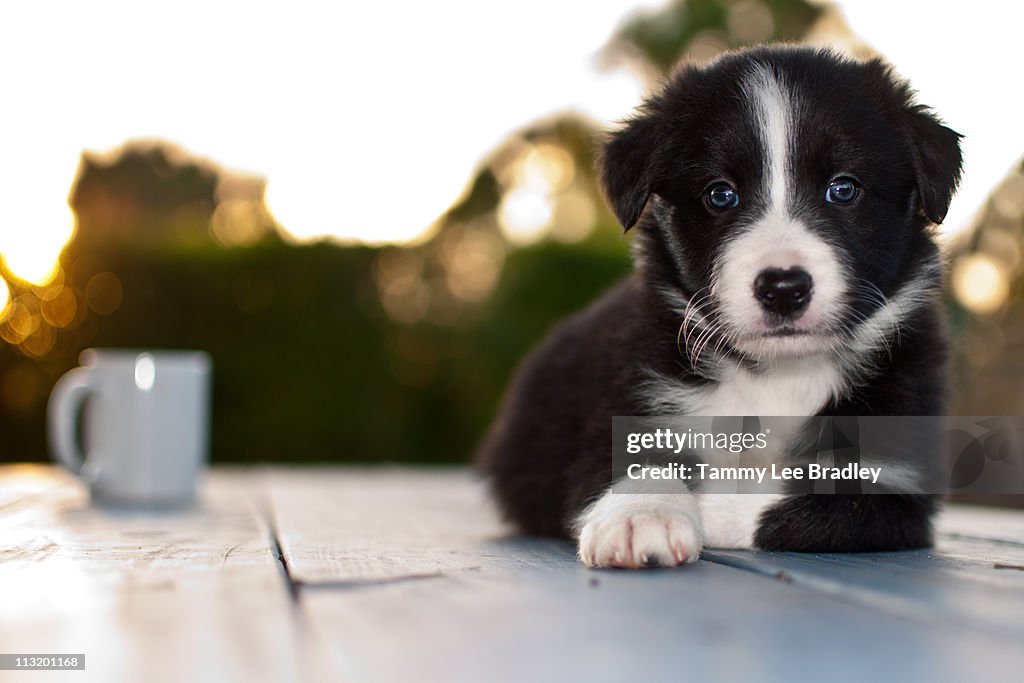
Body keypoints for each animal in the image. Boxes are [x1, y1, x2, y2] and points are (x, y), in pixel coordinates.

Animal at [475, 46, 962, 565]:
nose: (783, 287)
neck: (780, 377)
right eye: (721, 194)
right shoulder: (633, 396)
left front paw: (708, 510)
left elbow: (790, 508)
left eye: (843, 189)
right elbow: (636, 461)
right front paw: (641, 516)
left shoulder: (892, 479)